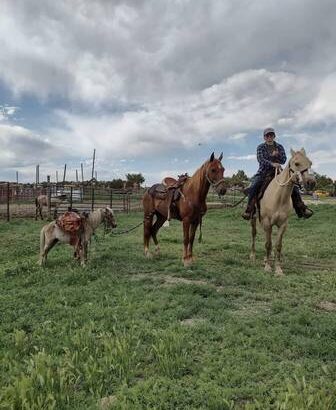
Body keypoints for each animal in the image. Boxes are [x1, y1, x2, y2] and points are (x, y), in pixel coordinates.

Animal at [251, 148, 316, 276]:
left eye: (310, 163)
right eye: (296, 163)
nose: (311, 182)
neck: (278, 197)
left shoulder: (283, 225)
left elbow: (277, 245)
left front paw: (278, 269)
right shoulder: (267, 222)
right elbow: (268, 244)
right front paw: (267, 267)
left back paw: (268, 257)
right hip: (253, 218)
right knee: (254, 233)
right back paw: (253, 255)